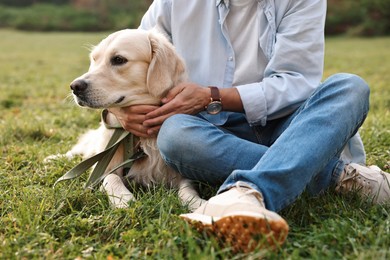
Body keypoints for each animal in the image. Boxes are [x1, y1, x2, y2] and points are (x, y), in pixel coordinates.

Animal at [52, 29, 204, 211]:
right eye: (95, 59)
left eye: (118, 59)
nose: (75, 86)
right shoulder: (105, 167)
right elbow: (112, 178)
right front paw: (123, 200)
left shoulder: (179, 174)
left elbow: (187, 189)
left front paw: (199, 203)